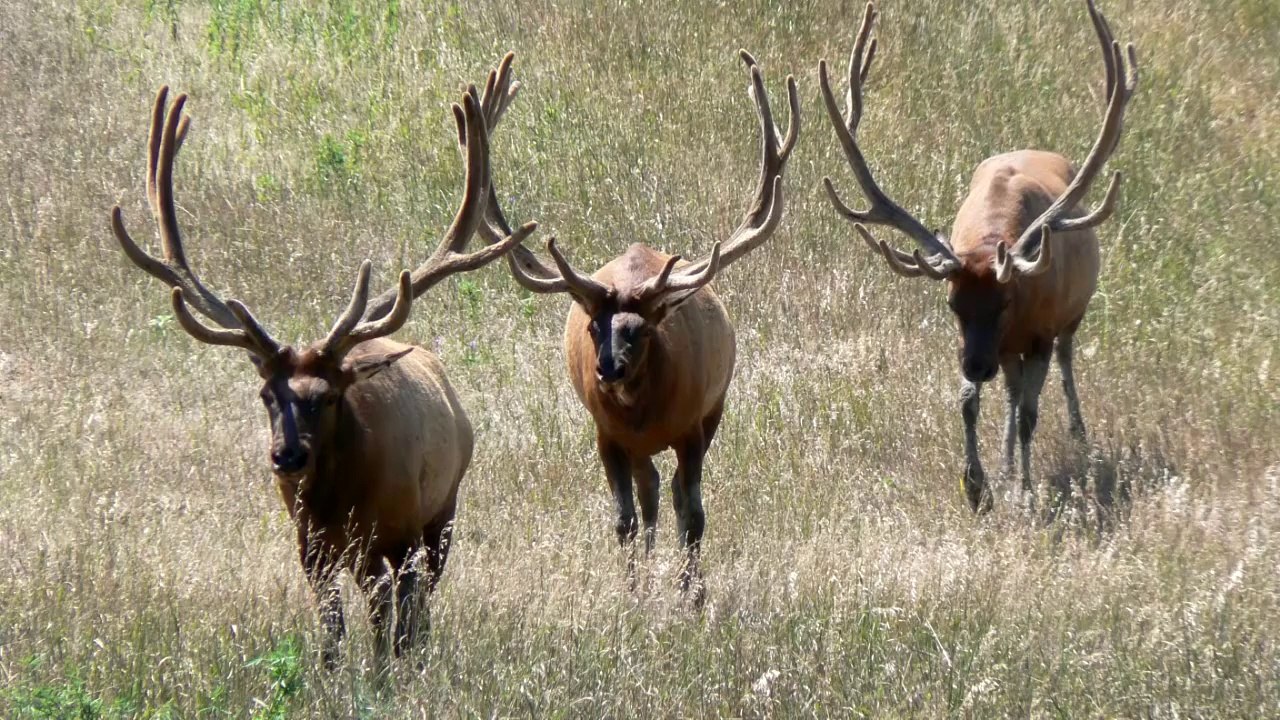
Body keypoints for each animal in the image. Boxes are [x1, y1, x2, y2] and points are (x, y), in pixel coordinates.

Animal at [109, 84, 536, 665]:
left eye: (328, 396)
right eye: (267, 394)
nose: (287, 456)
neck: (339, 499)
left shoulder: (396, 532)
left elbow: (394, 621)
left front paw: (388, 674)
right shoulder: (311, 548)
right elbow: (332, 635)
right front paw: (338, 674)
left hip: (441, 512)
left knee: (418, 604)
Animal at [458, 52, 798, 602]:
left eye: (639, 330)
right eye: (594, 329)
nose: (608, 370)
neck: (644, 411)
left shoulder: (692, 425)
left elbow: (695, 513)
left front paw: (690, 593)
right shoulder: (607, 434)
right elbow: (624, 520)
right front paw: (632, 590)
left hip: (715, 409)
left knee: (672, 492)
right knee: (650, 489)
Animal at [820, 0, 1137, 512]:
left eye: (1005, 301)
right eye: (953, 304)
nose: (975, 366)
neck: (994, 239)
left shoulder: (1039, 333)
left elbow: (1030, 414)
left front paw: (1025, 492)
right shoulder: (982, 342)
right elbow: (970, 403)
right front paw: (977, 484)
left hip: (1073, 313)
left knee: (1063, 362)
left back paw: (1077, 434)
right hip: (1010, 352)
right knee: (1010, 389)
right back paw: (1006, 462)